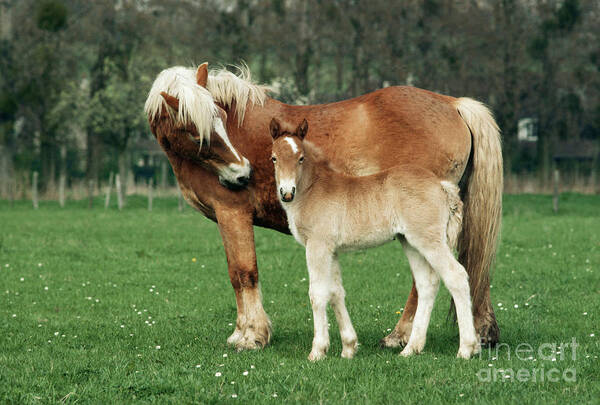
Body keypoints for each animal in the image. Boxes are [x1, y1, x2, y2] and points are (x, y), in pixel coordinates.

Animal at [270, 117, 480, 360]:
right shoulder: (332, 250)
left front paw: (317, 351)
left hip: (429, 240)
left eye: (301, 158)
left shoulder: (317, 246)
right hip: (410, 242)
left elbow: (318, 294)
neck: (313, 189)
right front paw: (349, 348)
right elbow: (336, 292)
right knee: (427, 283)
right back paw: (410, 349)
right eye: (274, 158)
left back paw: (466, 348)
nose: (287, 193)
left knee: (456, 276)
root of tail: (441, 186)